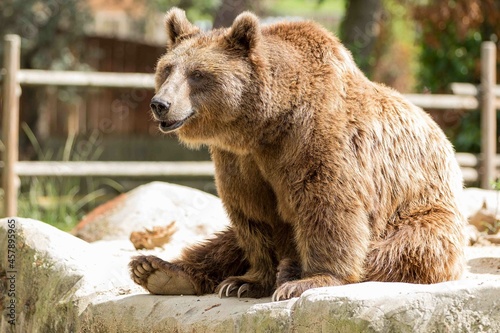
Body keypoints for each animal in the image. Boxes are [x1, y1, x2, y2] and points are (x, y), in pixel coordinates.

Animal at [129, 7, 464, 300]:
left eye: (198, 74)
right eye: (167, 69)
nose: (160, 104)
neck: (265, 125)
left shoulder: (315, 140)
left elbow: (329, 207)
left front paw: (310, 278)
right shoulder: (239, 160)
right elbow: (253, 215)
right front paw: (247, 281)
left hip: (422, 212)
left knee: (407, 248)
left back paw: (291, 269)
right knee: (225, 240)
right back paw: (158, 270)